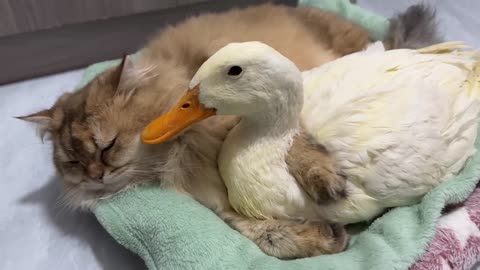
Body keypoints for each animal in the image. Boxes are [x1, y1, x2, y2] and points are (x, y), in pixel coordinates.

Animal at [20, 2, 440, 260]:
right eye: (74, 162)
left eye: (106, 146)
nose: (96, 176)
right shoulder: (217, 204)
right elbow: (256, 232)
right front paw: (320, 238)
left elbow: (298, 147)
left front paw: (324, 181)